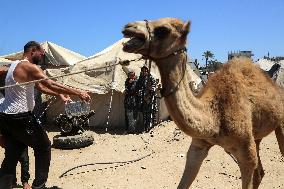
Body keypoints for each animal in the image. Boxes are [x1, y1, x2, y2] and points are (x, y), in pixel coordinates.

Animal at [121, 17, 282, 188]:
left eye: (163, 30)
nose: (128, 28)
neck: (215, 116)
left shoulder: (246, 155)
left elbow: (250, 167)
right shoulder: (198, 146)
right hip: (256, 136)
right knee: (260, 173)